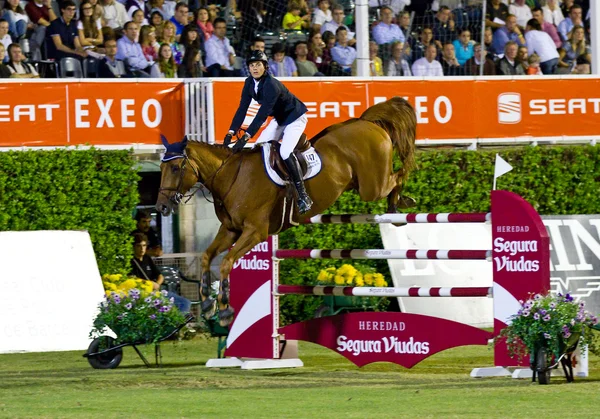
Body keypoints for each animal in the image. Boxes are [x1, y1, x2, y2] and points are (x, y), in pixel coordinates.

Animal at [156, 97, 418, 326]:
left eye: (176, 168)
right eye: (161, 167)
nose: (161, 207)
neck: (231, 176)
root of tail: (367, 122)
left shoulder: (255, 232)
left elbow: (226, 262)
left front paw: (225, 310)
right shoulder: (230, 230)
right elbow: (207, 256)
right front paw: (207, 304)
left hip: (372, 187)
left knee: (397, 176)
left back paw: (400, 203)